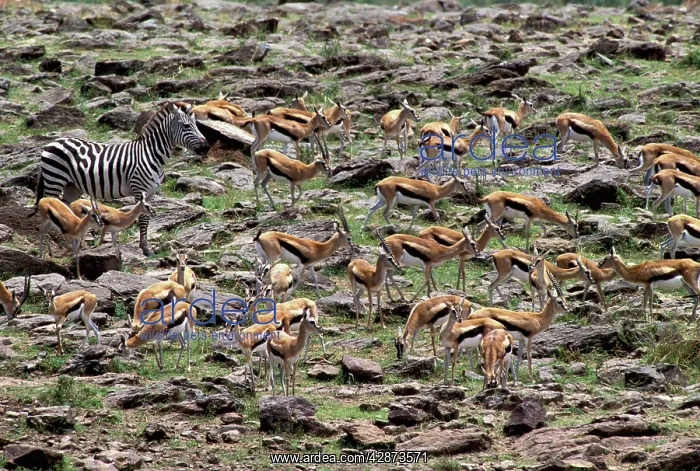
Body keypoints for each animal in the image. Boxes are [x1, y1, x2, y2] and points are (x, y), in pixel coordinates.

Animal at [31, 102, 210, 256]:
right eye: (186, 126)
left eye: (197, 125)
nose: (206, 147)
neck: (151, 155)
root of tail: (53, 142)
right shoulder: (140, 188)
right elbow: (142, 219)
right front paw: (145, 249)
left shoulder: (151, 192)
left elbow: (146, 217)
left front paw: (146, 247)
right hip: (55, 179)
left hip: (71, 186)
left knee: (65, 209)